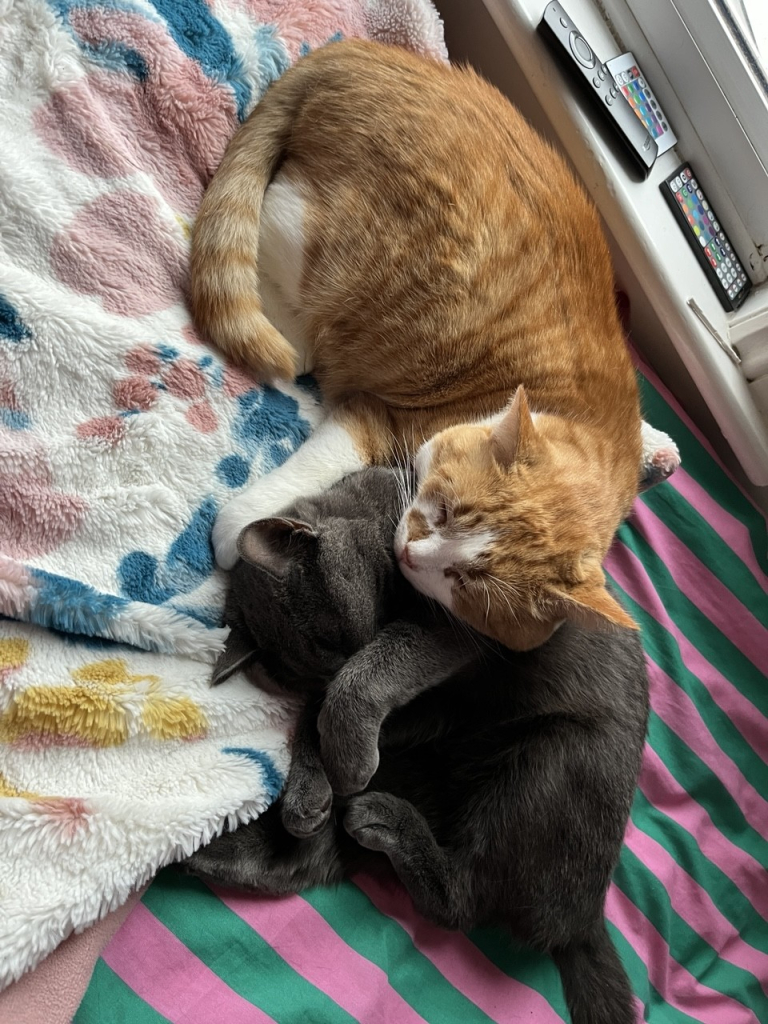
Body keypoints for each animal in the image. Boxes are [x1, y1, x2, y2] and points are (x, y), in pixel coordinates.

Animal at [186, 466, 651, 1024]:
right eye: (316, 655)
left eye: (329, 638)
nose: (333, 668)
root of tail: (586, 922)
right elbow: (320, 714)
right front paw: (312, 786)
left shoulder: (451, 632)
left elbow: (363, 677)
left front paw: (341, 757)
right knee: (309, 856)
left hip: (553, 757)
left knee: (463, 900)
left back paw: (381, 816)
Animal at [191, 41, 643, 647]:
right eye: (446, 510)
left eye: (466, 583)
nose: (408, 550)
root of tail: (351, 53)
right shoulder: (379, 418)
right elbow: (312, 467)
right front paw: (235, 529)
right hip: (326, 255)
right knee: (272, 235)